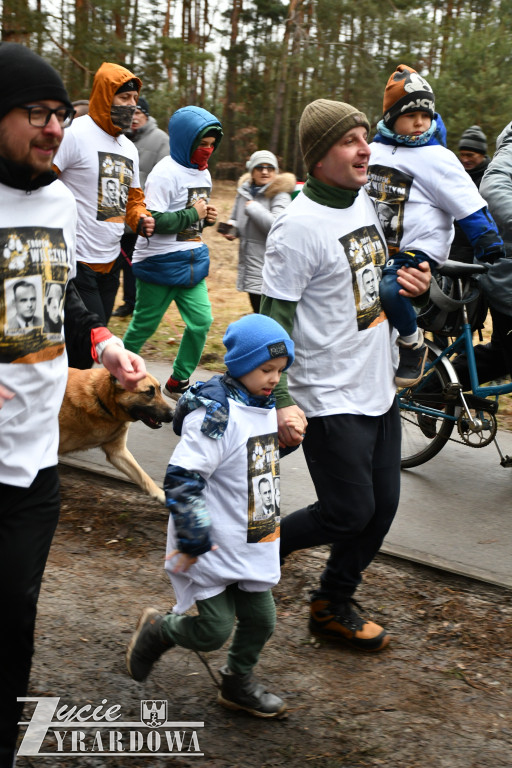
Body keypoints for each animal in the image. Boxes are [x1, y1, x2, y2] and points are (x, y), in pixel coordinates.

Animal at [59, 368, 173, 504]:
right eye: (148, 393)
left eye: (159, 389)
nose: (173, 415)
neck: (100, 400)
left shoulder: (118, 453)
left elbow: (142, 475)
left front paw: (161, 495)